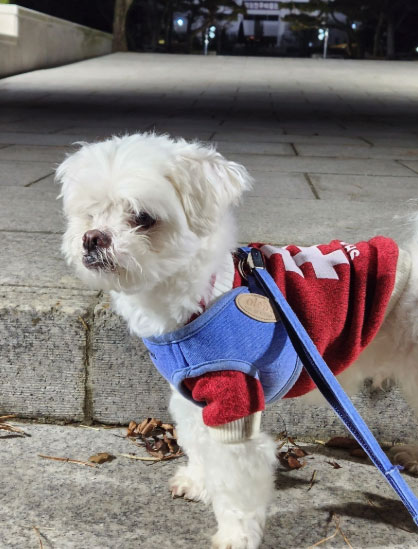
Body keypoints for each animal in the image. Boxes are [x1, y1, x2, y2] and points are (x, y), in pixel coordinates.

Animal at [57, 133, 418, 549]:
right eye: (90, 214)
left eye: (143, 218)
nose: (92, 238)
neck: (200, 296)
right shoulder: (192, 395)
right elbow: (199, 444)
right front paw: (199, 482)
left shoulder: (234, 398)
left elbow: (235, 478)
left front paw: (236, 533)